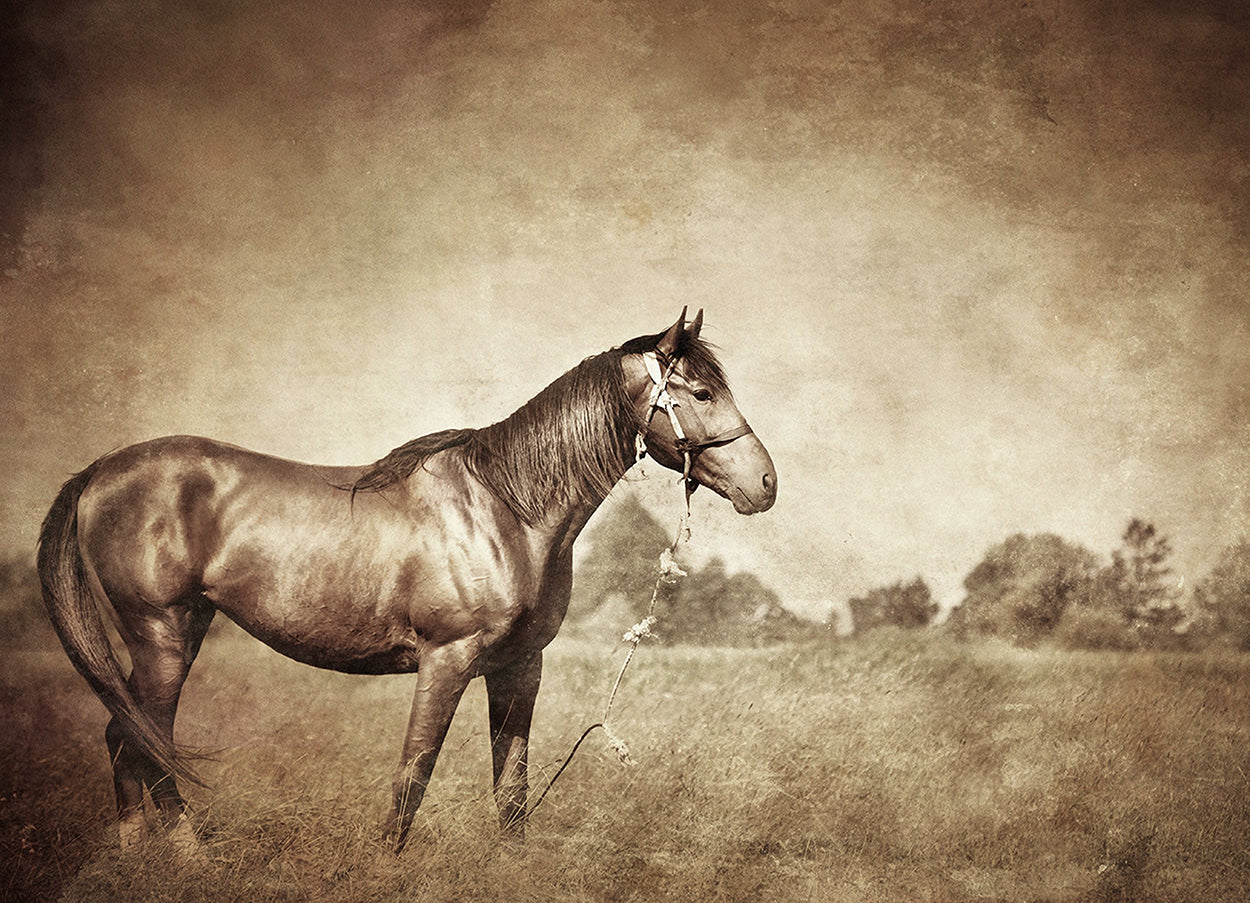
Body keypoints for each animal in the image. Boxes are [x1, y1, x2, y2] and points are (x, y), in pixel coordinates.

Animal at [37, 308, 777, 854]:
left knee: (123, 735)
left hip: (184, 630)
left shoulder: (518, 667)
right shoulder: (445, 661)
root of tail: (100, 472)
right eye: (702, 392)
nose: (766, 483)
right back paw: (191, 856)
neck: (504, 506)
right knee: (148, 740)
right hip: (160, 634)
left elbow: (512, 789)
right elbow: (413, 776)